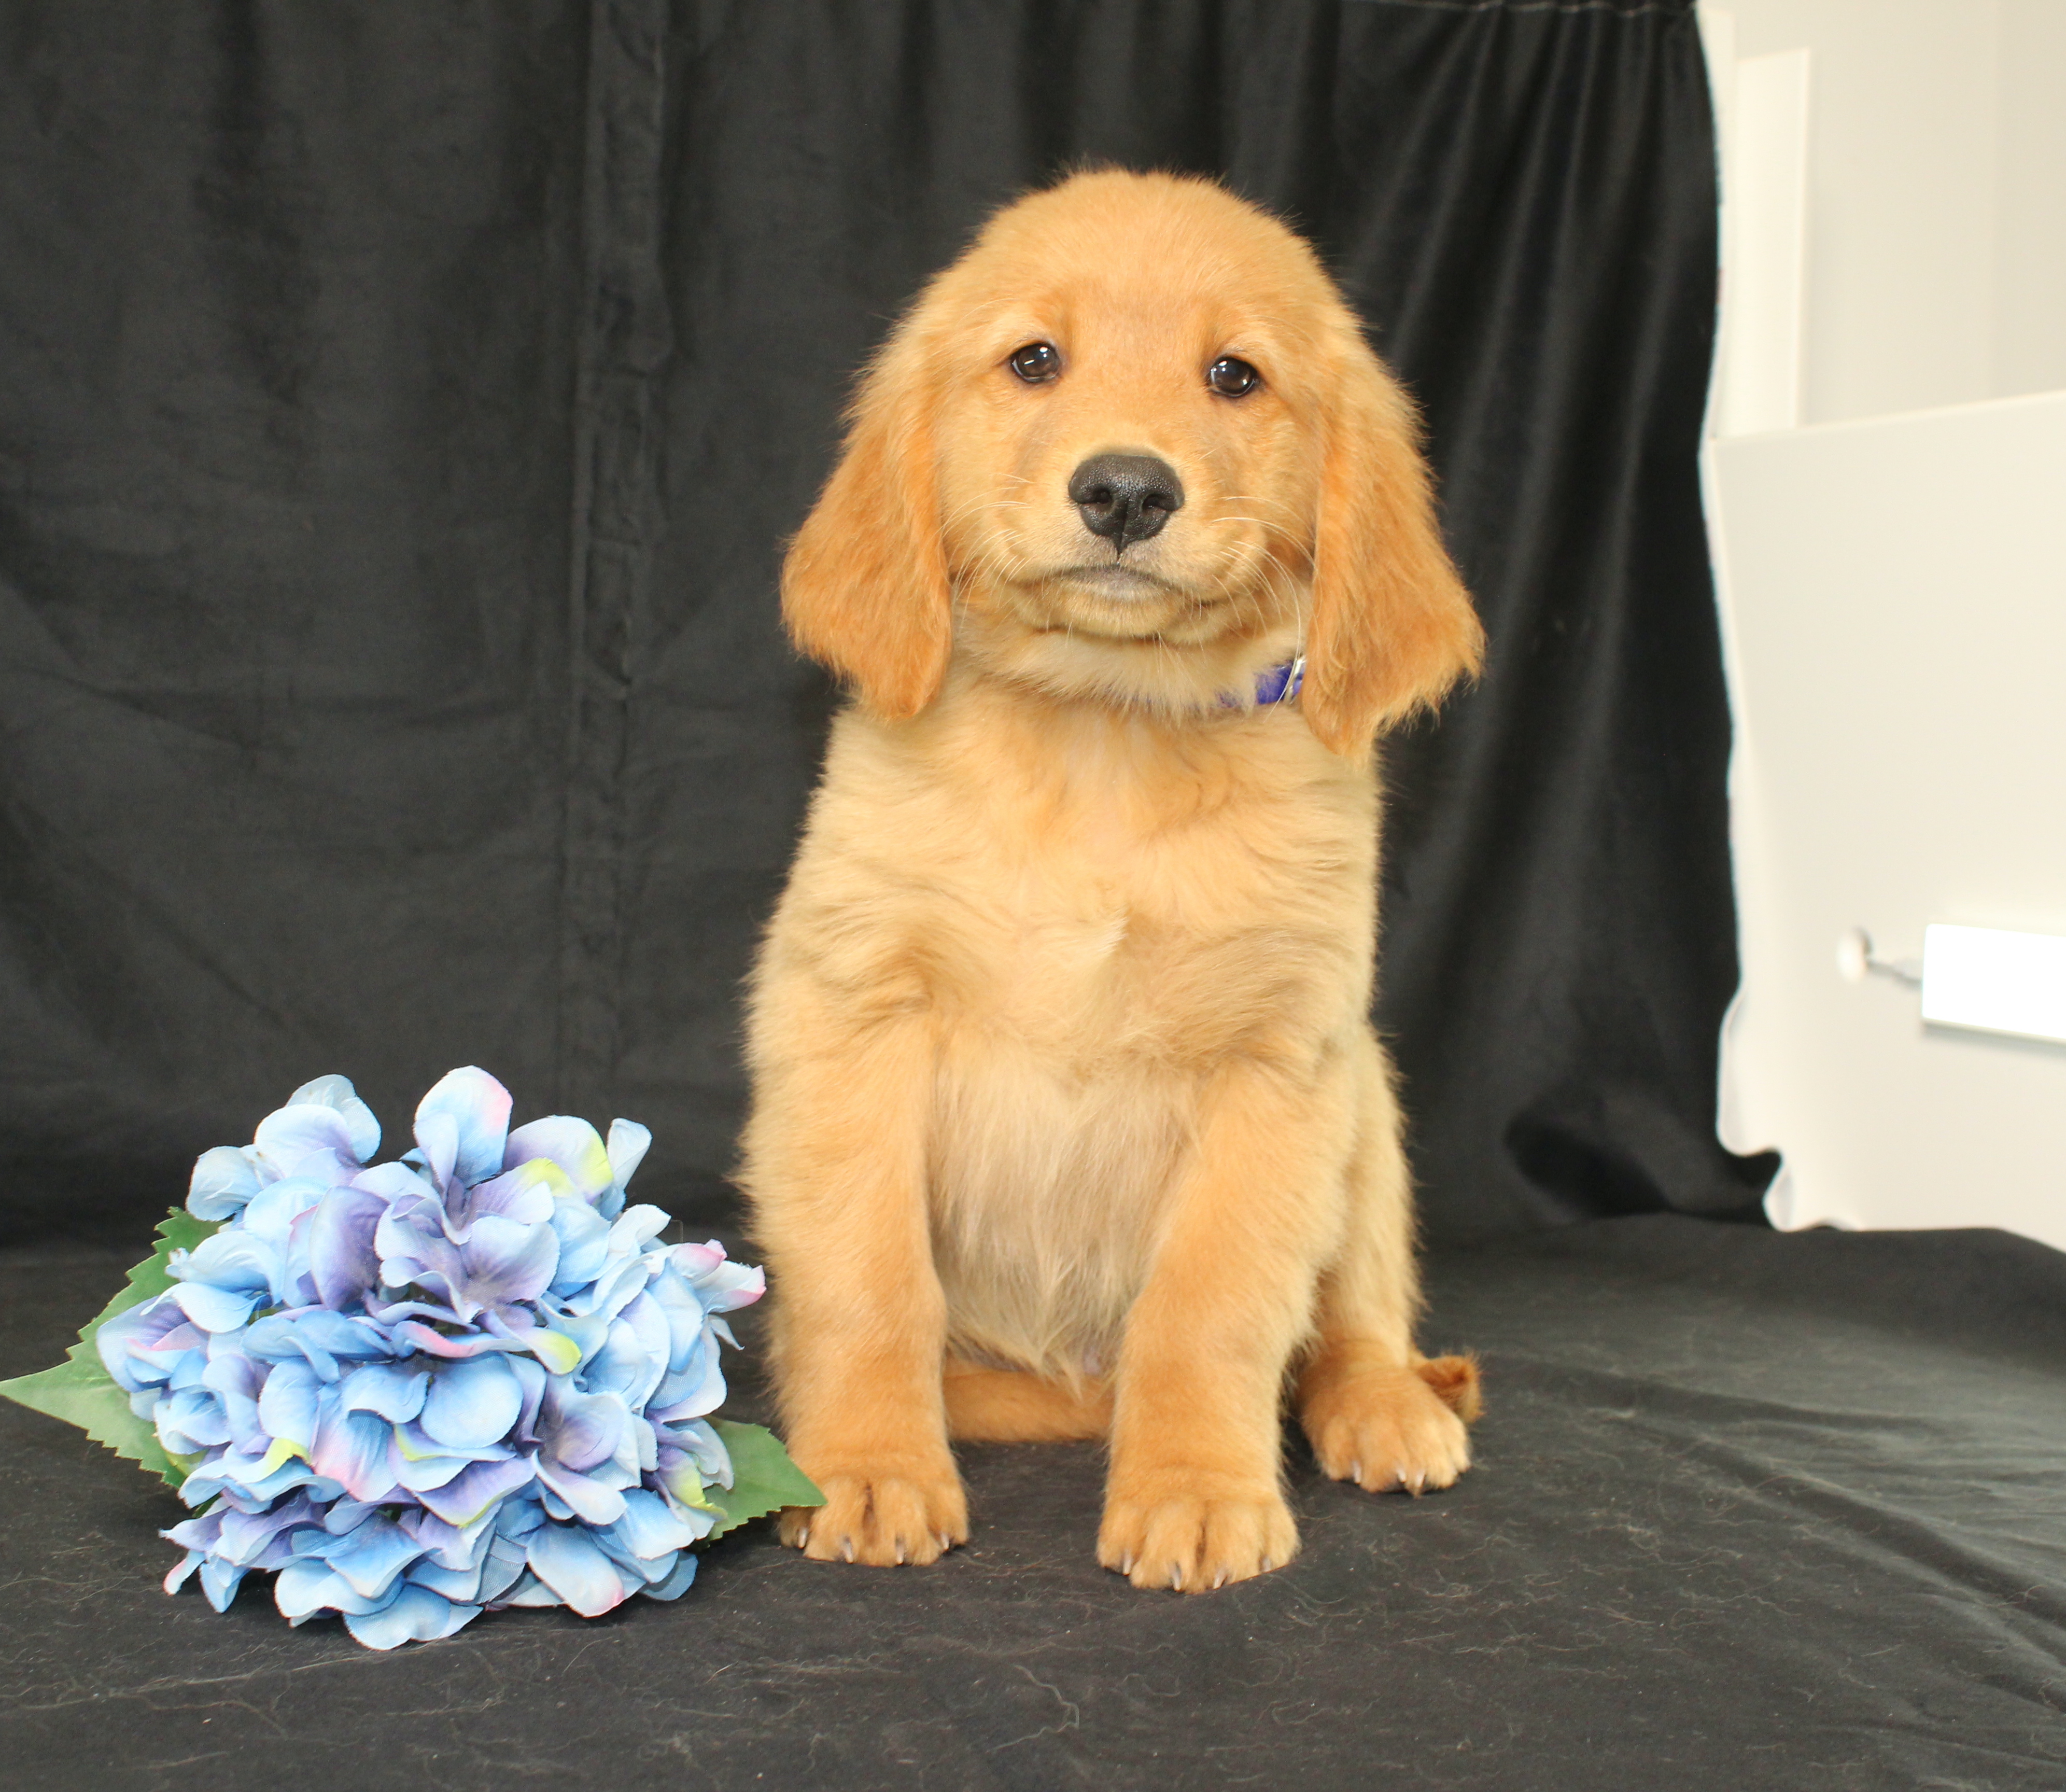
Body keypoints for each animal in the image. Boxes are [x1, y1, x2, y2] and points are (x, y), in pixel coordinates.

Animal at [743, 171, 1487, 1595]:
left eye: (1234, 376)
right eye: (1034, 360)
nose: (1128, 492)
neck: (1105, 738)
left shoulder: (1277, 1060)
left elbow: (1211, 1306)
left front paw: (1195, 1488)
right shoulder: (853, 1015)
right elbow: (871, 1280)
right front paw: (865, 1463)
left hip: (1366, 1106)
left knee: (1357, 1315)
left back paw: (1381, 1405)